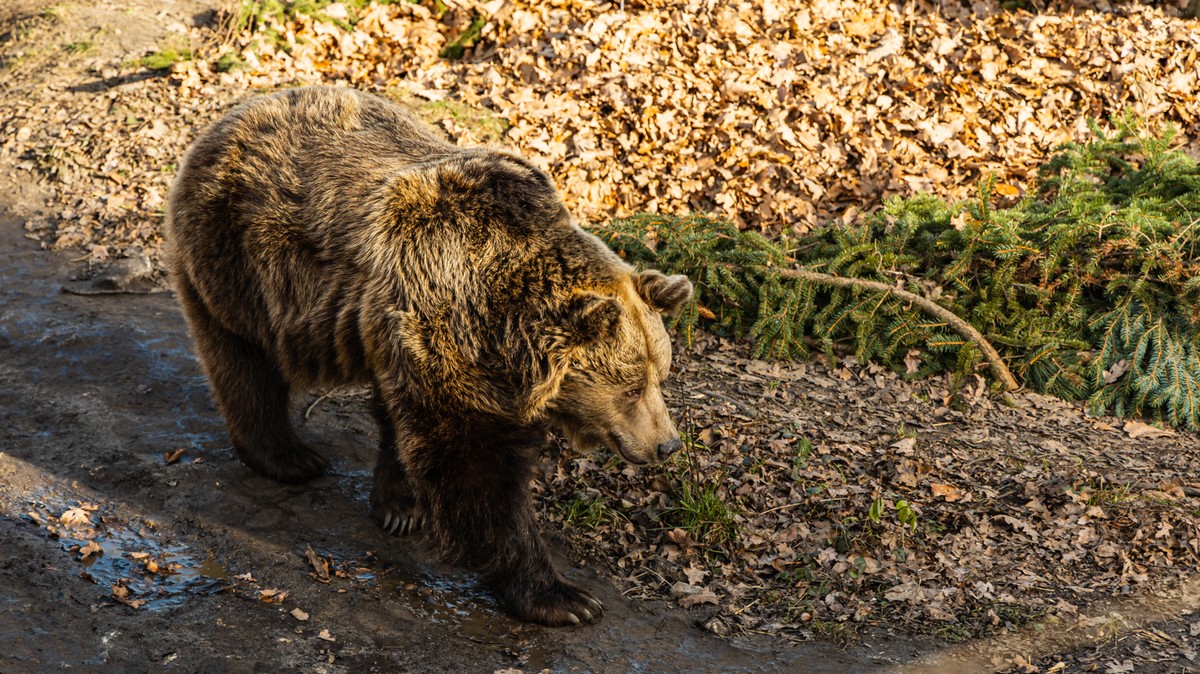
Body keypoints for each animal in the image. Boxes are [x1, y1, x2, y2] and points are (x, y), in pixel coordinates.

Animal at [168, 85, 696, 623]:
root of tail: (232, 116)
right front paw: (562, 596)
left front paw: (403, 507)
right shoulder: (446, 329)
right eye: (631, 387)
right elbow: (474, 467)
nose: (668, 444)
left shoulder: (417, 337)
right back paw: (289, 457)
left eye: (661, 376)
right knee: (244, 363)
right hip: (238, 263)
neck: (502, 332)